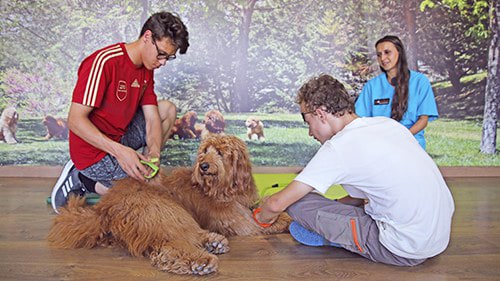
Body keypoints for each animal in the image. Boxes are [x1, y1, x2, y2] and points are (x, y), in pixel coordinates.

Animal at [48, 135, 292, 274]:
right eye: (205, 151)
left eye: (221, 153)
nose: (203, 166)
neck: (223, 187)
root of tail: (103, 208)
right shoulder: (242, 222)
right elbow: (278, 220)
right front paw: (288, 219)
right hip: (166, 212)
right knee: (171, 245)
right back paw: (201, 261)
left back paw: (214, 243)